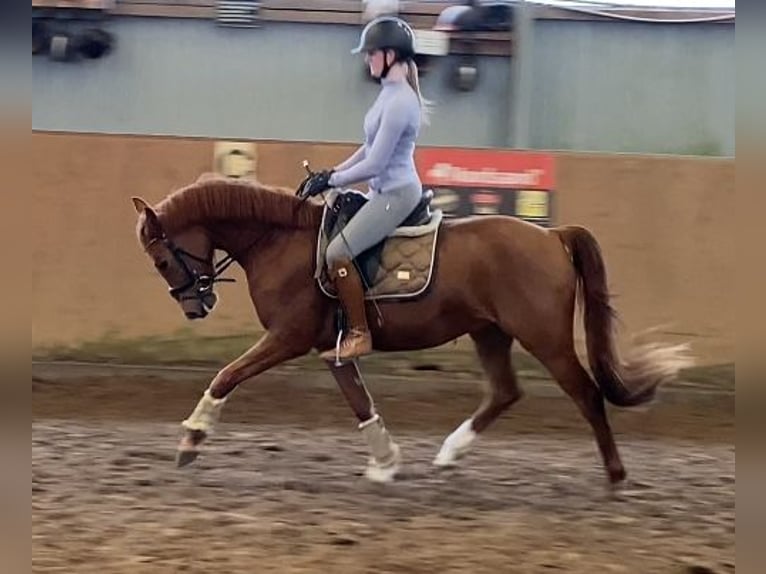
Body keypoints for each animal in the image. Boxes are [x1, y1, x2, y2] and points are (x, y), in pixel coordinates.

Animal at [134, 174, 696, 486]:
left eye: (161, 259)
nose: (197, 305)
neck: (279, 242)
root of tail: (552, 235)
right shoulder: (329, 347)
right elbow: (360, 401)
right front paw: (386, 462)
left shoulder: (288, 338)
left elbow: (227, 375)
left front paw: (191, 440)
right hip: (490, 332)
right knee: (505, 392)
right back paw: (449, 454)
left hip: (546, 339)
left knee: (585, 393)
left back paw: (615, 474)